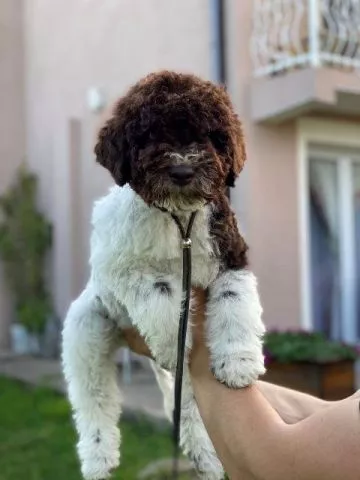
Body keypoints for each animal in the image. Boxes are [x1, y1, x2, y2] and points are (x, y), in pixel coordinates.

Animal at [61, 71, 264, 480]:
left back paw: (206, 454)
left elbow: (235, 299)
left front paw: (238, 361)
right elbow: (160, 295)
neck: (179, 219)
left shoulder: (231, 254)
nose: (183, 171)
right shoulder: (119, 267)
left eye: (210, 136)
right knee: (94, 398)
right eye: (150, 135)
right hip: (86, 332)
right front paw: (174, 344)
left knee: (186, 401)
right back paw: (98, 457)